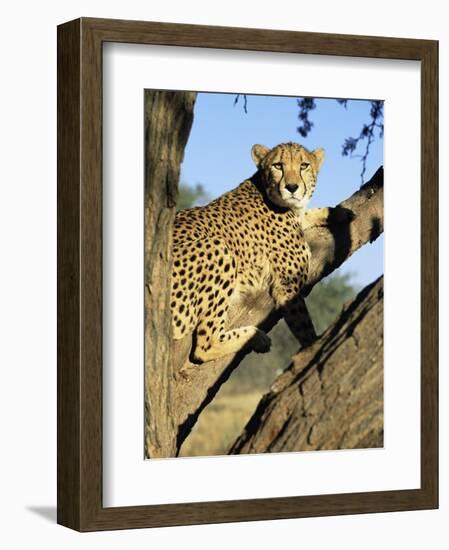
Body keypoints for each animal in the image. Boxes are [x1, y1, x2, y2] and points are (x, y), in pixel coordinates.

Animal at [170, 142, 334, 366]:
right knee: (204, 346)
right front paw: (314, 349)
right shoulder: (287, 288)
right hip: (219, 247)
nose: (292, 187)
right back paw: (256, 336)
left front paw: (337, 212)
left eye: (304, 165)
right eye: (278, 165)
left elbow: (309, 214)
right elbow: (304, 327)